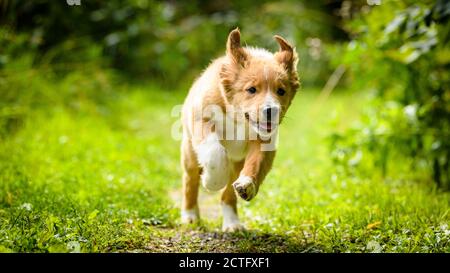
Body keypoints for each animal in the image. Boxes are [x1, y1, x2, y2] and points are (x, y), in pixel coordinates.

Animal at [179, 27, 298, 231]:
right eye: (251, 89)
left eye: (281, 91)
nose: (271, 111)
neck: (239, 120)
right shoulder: (202, 122)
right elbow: (215, 152)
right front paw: (212, 181)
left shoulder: (265, 141)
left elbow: (256, 163)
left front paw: (247, 184)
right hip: (189, 152)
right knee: (190, 181)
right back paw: (190, 215)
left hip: (236, 164)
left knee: (228, 195)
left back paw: (232, 223)